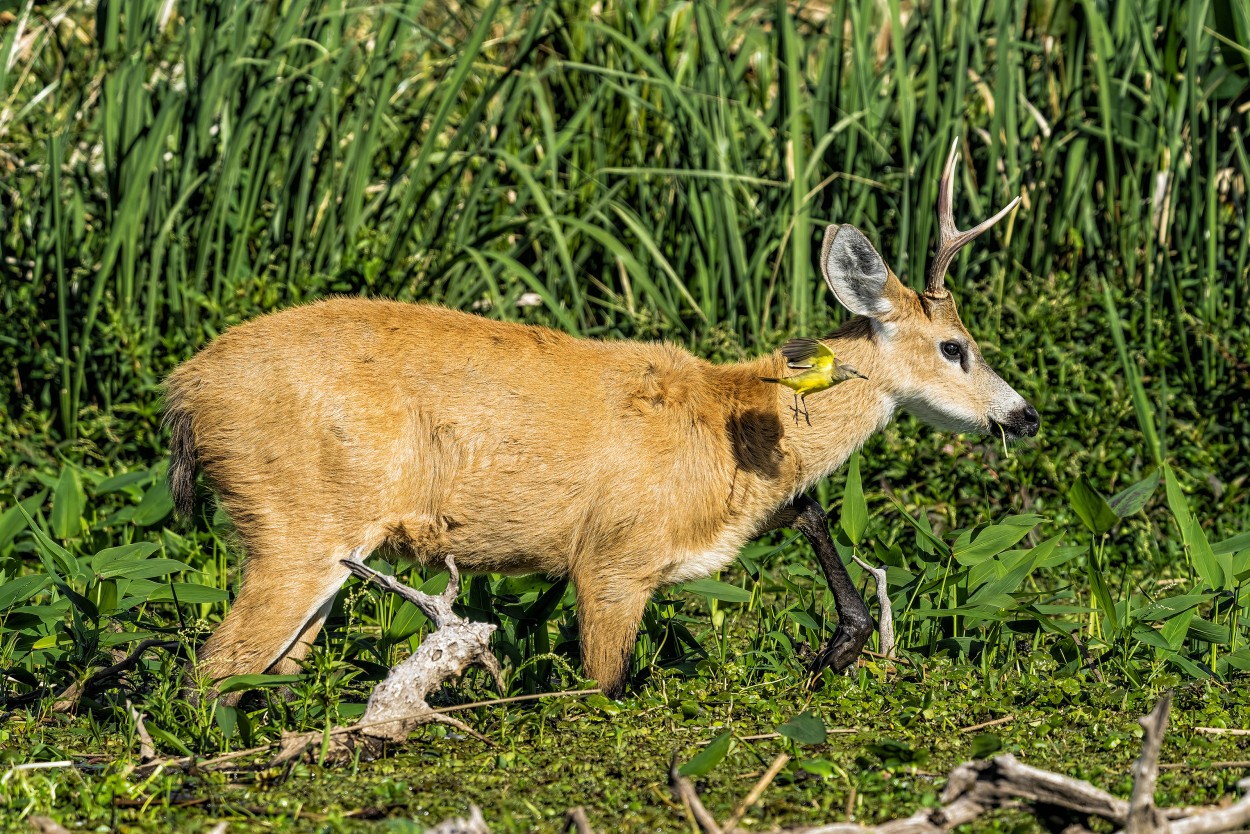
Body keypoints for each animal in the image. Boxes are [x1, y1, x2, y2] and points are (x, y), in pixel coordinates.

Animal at [171, 141, 1040, 700]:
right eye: (956, 346)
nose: (1024, 416)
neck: (728, 422)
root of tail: (186, 391)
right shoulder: (613, 560)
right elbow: (604, 689)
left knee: (264, 674)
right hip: (296, 526)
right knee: (213, 671)